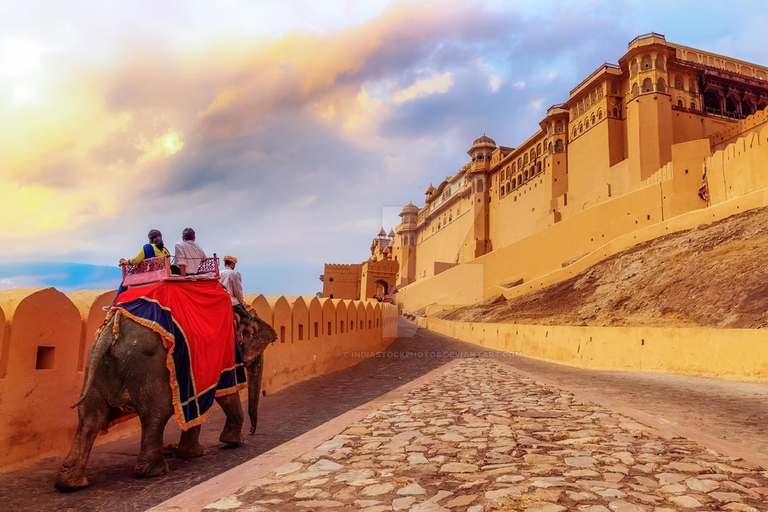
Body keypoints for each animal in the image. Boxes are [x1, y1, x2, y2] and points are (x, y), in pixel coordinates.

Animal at [54, 304, 278, 492]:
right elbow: (226, 393)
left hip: (96, 369)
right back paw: (155, 470)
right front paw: (233, 442)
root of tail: (112, 328)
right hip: (150, 368)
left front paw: (192, 452)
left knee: (90, 418)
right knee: (156, 414)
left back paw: (71, 483)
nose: (252, 431)